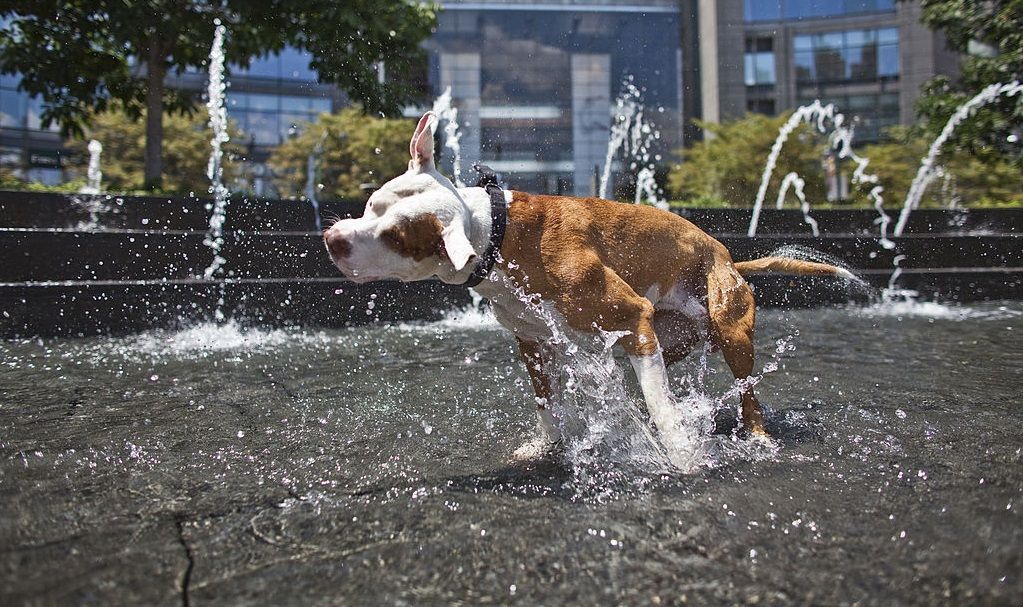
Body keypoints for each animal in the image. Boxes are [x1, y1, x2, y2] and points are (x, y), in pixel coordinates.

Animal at [323, 111, 851, 458]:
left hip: (727, 330)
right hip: (662, 338)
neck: (498, 234)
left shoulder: (631, 315)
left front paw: (681, 455)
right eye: (371, 203)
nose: (332, 239)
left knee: (744, 393)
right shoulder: (533, 341)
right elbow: (547, 403)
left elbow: (662, 410)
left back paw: (757, 435)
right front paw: (547, 444)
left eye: (396, 237)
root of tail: (726, 255)